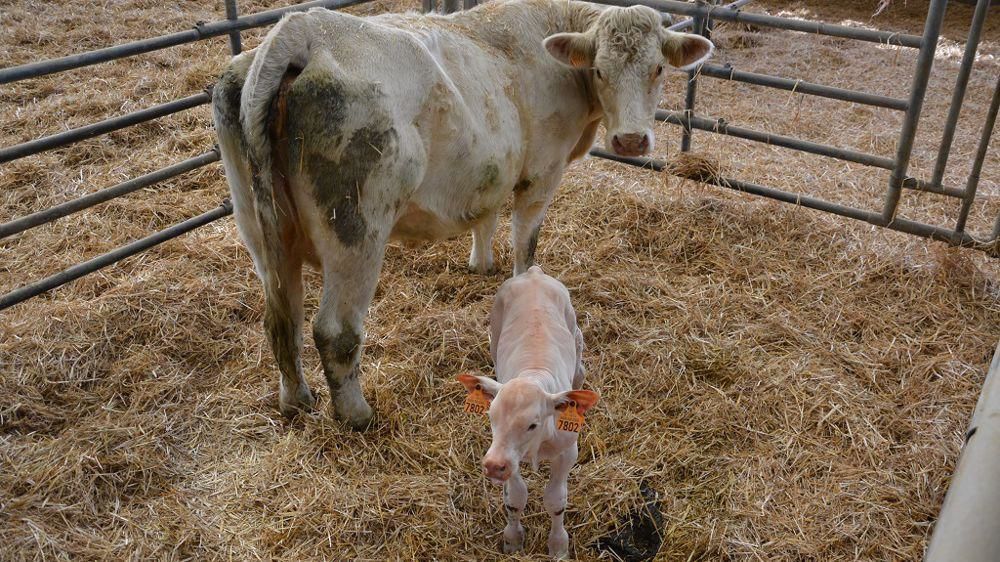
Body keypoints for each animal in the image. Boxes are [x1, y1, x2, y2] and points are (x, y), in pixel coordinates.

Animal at [212, 0, 713, 427]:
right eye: (600, 70)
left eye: (658, 68)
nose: (630, 141)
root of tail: (303, 29)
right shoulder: (541, 173)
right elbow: (526, 242)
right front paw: (525, 293)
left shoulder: (490, 171)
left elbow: (485, 217)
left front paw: (481, 265)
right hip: (355, 229)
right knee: (335, 331)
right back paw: (357, 415)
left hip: (261, 231)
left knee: (283, 319)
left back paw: (295, 400)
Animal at [457, 265, 597, 558]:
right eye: (491, 418)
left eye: (532, 424)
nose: (493, 465)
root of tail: (533, 272)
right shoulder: (508, 453)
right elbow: (516, 497)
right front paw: (513, 539)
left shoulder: (568, 451)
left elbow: (555, 500)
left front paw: (558, 546)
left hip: (575, 337)